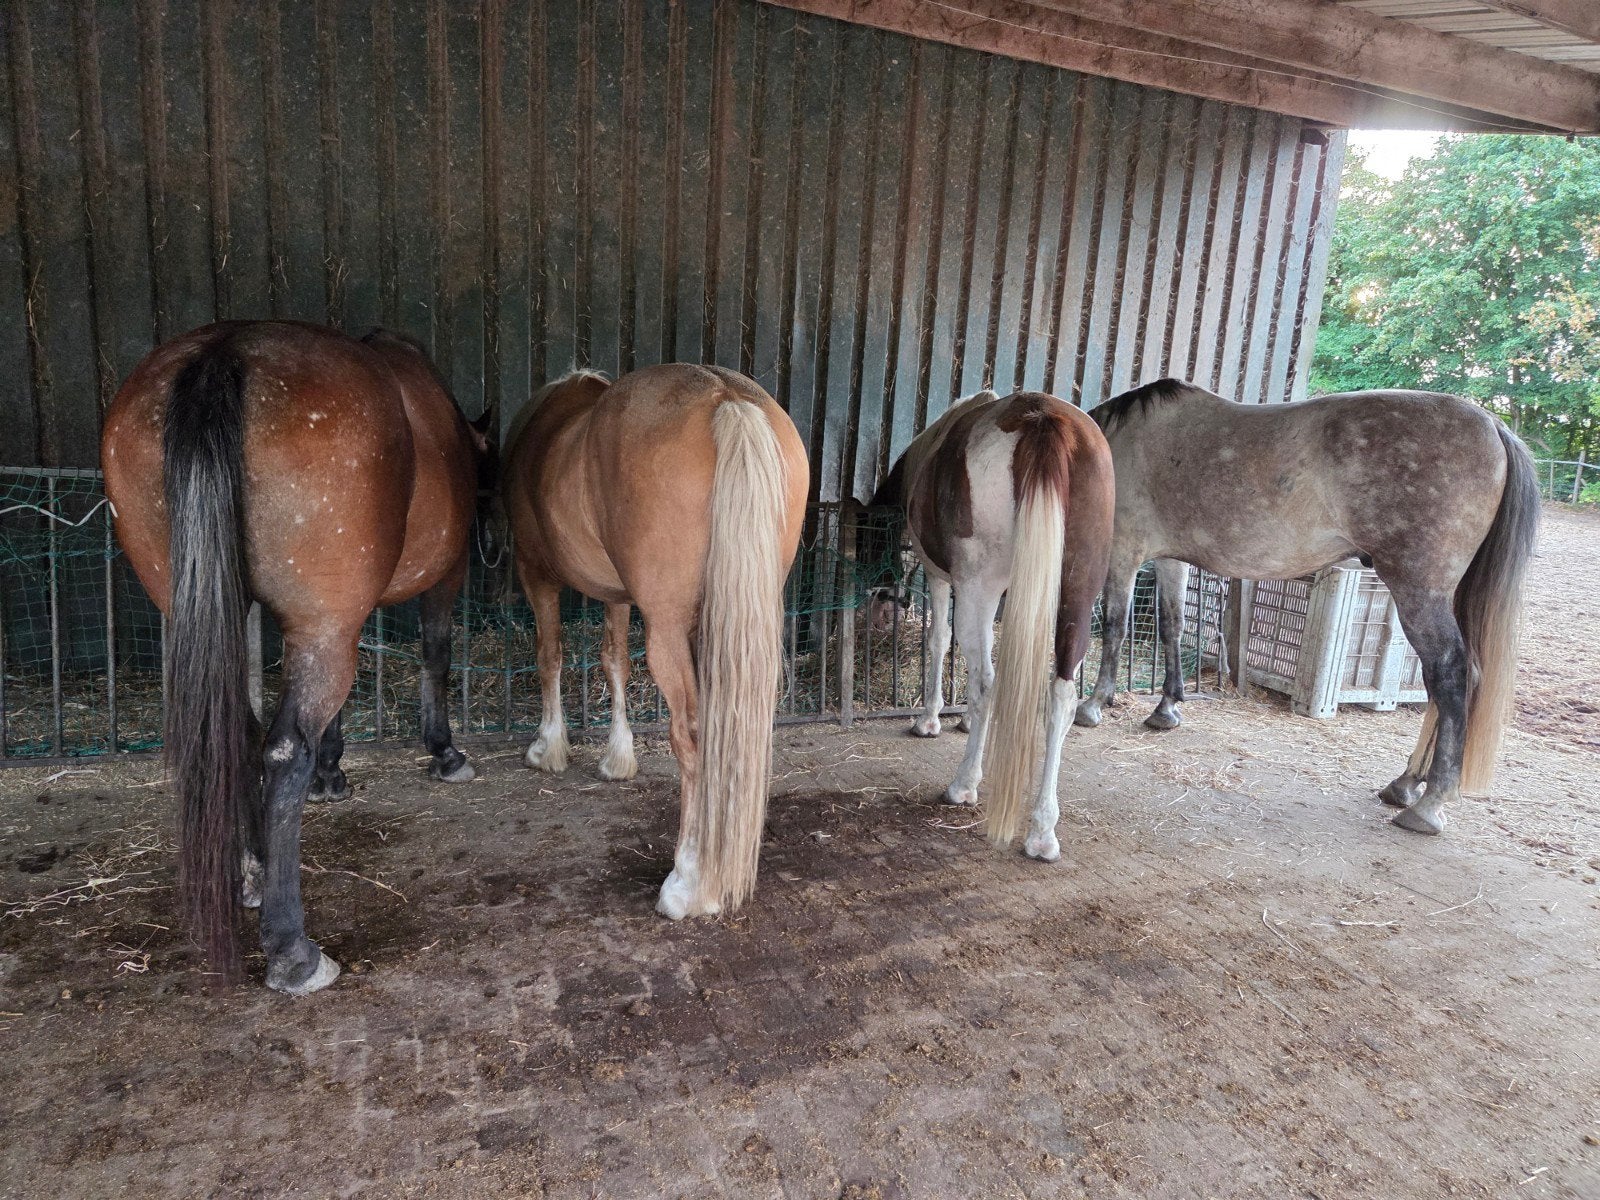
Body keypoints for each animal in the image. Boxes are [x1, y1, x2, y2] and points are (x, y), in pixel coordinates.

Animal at [101, 320, 492, 995]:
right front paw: (444, 752)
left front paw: (333, 772)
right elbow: (435, 656)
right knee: (282, 750)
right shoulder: (440, 579)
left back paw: (252, 873)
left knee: (235, 732)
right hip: (319, 625)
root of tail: (220, 352)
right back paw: (292, 949)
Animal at [502, 364, 808, 919]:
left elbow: (548, 655)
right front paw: (618, 757)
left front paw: (548, 746)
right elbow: (613, 661)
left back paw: (689, 882)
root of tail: (725, 398)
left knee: (693, 736)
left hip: (666, 629)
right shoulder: (619, 596)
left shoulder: (536, 575)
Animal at [863, 389, 1115, 860]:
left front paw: (930, 720)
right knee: (1061, 695)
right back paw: (1042, 831)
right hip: (1077, 594)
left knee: (986, 681)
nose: (877, 612)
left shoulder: (943, 578)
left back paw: (964, 785)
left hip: (979, 588)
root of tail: (1043, 420)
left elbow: (939, 641)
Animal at [1074, 379, 1540, 835]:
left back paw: (1429, 804)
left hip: (1419, 592)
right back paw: (1406, 784)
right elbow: (1171, 626)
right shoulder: (1169, 559)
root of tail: (1493, 426)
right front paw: (1167, 708)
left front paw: (1092, 705)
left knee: (1450, 674)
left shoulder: (1124, 551)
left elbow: (1114, 626)